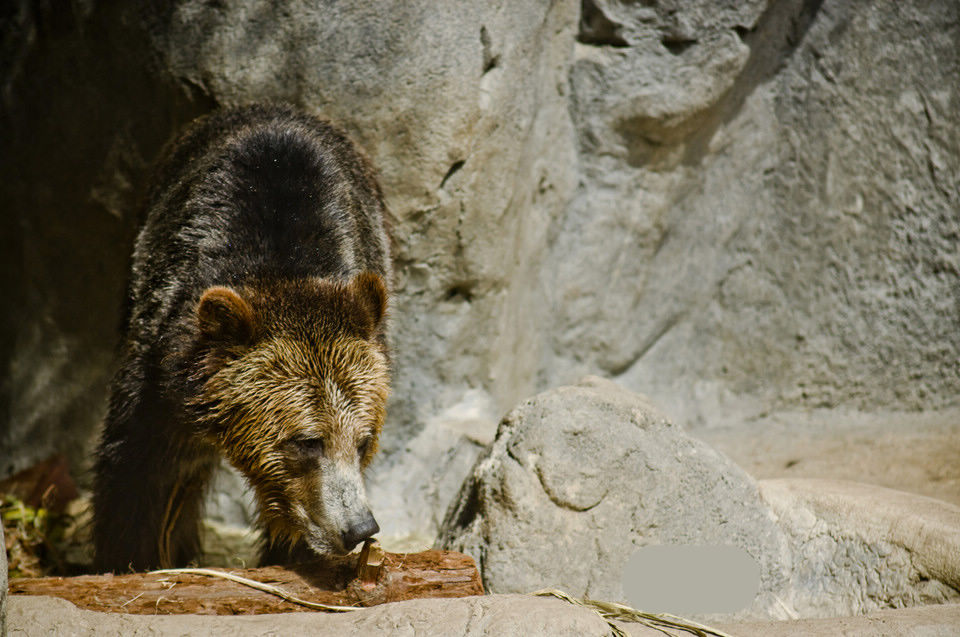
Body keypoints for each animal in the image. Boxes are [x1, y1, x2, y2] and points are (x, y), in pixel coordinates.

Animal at [91, 104, 390, 572]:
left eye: (363, 442)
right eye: (308, 442)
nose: (359, 527)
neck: (281, 271)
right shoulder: (159, 375)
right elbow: (140, 477)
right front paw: (132, 558)